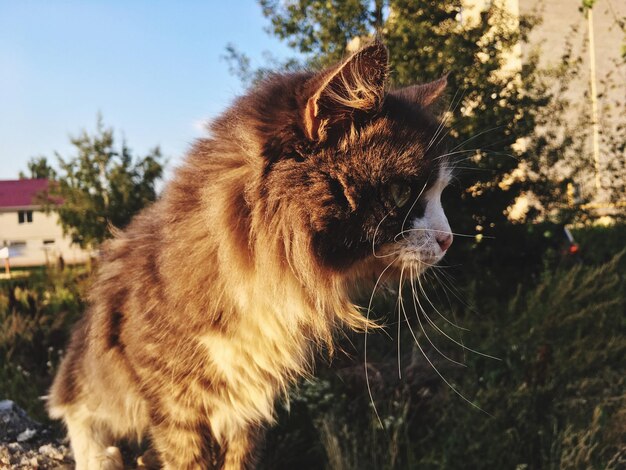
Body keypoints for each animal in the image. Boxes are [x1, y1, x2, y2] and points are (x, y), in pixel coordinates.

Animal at [46, 42, 450, 468]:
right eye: (402, 195)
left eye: (441, 193)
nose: (448, 239)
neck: (264, 281)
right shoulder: (174, 403)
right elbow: (185, 458)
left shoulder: (247, 403)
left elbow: (239, 458)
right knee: (81, 416)